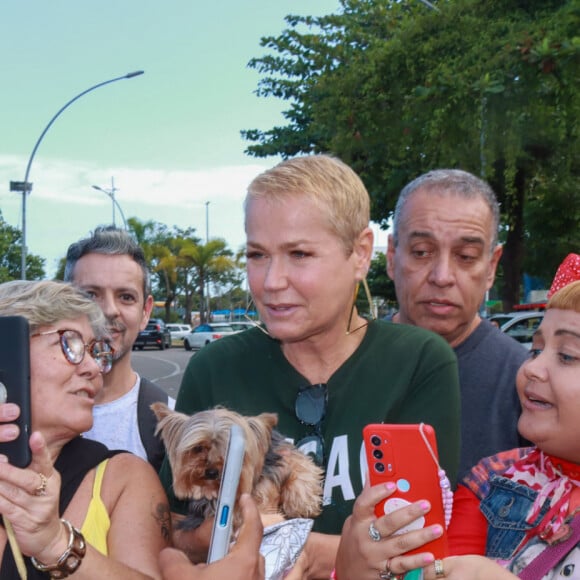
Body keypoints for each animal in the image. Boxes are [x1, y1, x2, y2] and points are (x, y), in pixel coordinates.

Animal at [150, 404, 324, 532]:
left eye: (230, 448)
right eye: (198, 448)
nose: (211, 472)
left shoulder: (281, 452)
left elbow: (301, 465)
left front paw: (303, 502)